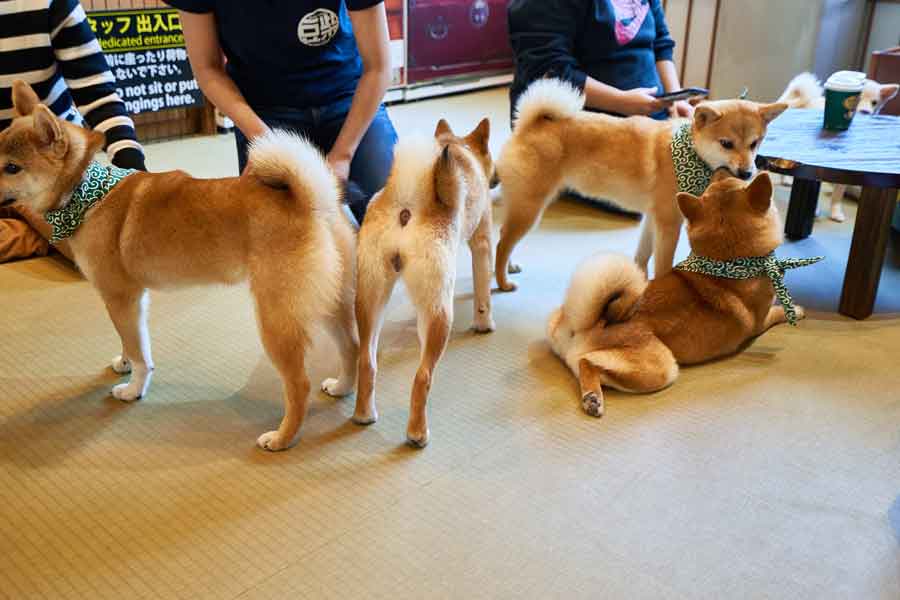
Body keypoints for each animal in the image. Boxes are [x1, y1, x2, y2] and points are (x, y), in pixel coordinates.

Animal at [0, 82, 358, 452]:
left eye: (12, 168)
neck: (87, 195)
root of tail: (312, 204)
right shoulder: (131, 301)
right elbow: (131, 341)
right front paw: (124, 364)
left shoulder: (120, 297)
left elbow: (140, 354)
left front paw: (133, 389)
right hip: (329, 303)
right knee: (353, 349)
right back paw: (342, 387)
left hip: (277, 318)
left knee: (299, 385)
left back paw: (282, 437)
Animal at [354, 118, 496, 446]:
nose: (496, 179)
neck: (459, 146)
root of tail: (406, 207)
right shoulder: (482, 241)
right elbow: (483, 293)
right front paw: (484, 324)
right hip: (438, 313)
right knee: (423, 376)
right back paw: (417, 433)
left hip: (370, 299)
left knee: (366, 361)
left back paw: (364, 415)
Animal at [492, 78, 788, 290]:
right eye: (726, 144)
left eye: (755, 144)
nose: (747, 172)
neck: (691, 154)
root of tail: (530, 125)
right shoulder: (669, 223)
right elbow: (663, 264)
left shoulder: (652, 218)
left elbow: (642, 255)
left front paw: (640, 281)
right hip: (531, 207)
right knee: (501, 244)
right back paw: (502, 281)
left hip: (523, 206)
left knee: (506, 238)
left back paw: (508, 267)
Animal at [776, 72, 896, 223]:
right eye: (858, 99)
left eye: (874, 102)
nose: (865, 111)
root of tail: (797, 99)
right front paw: (814, 210)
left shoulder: (843, 171)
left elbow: (838, 194)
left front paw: (835, 211)